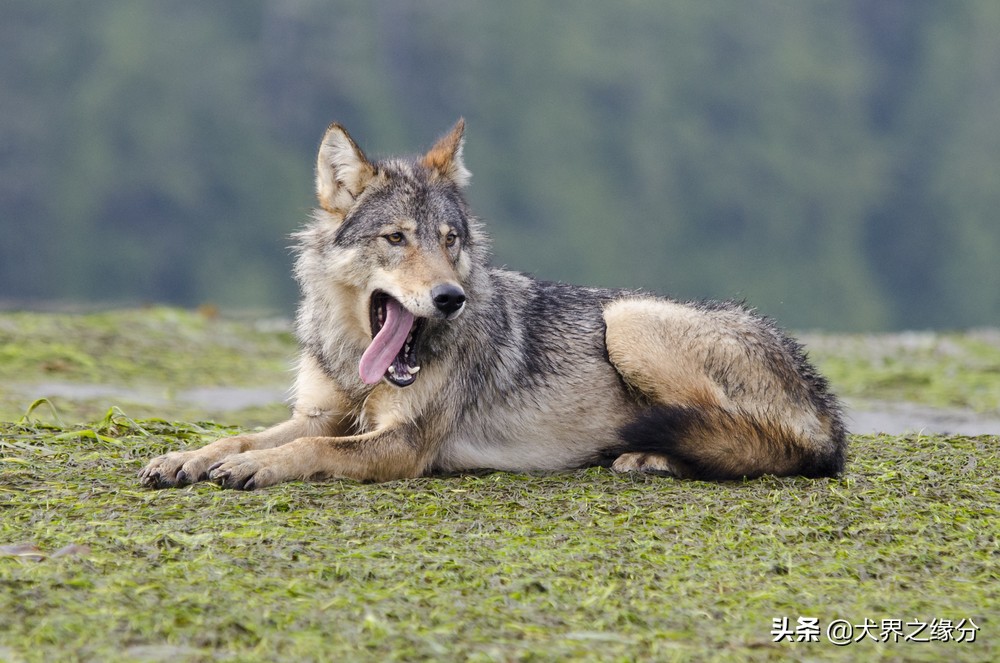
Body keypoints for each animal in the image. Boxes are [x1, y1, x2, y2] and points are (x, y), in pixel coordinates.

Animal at [141, 119, 844, 490]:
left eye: (450, 240)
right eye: (397, 239)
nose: (449, 298)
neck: (356, 362)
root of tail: (826, 403)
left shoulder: (401, 446)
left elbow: (306, 451)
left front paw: (255, 466)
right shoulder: (324, 413)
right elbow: (245, 432)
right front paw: (187, 457)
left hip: (627, 318)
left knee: (763, 447)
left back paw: (651, 455)